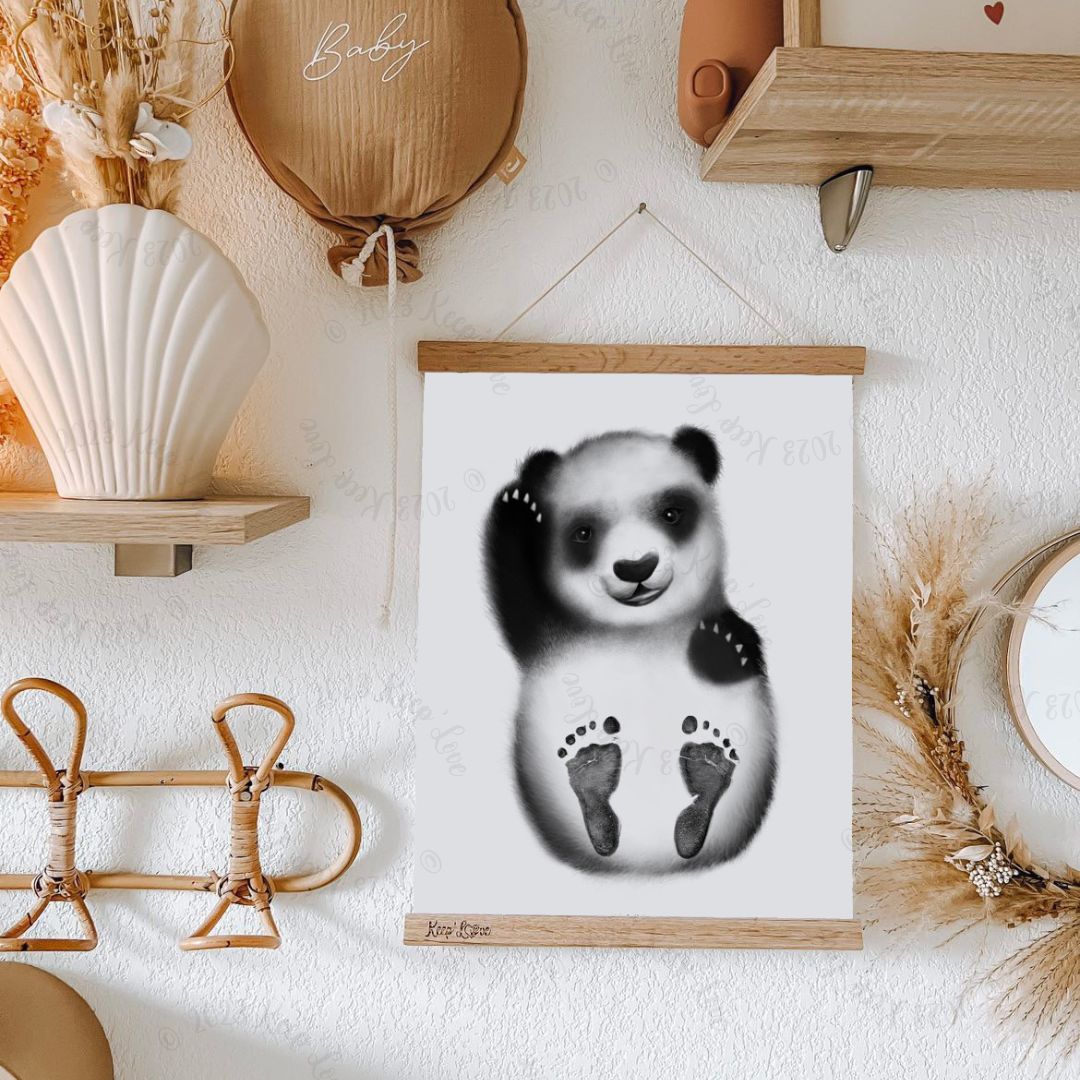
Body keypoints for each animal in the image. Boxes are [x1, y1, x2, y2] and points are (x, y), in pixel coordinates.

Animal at [484, 425, 777, 874]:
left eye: (671, 514)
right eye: (584, 533)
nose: (636, 567)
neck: (641, 629)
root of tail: (647, 861)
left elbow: (738, 646)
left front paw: (721, 643)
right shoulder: (543, 632)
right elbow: (515, 588)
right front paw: (518, 505)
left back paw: (705, 773)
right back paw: (593, 774)